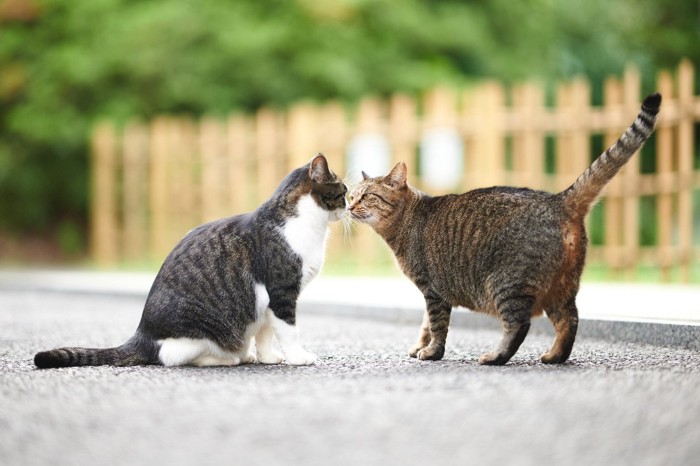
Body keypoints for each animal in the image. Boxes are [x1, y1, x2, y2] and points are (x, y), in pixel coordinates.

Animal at [35, 153, 348, 368]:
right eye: (343, 191)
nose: (349, 206)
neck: (305, 223)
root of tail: (142, 334)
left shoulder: (270, 302)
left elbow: (266, 333)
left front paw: (269, 357)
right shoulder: (281, 292)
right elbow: (288, 330)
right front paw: (298, 357)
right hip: (200, 330)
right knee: (173, 356)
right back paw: (228, 358)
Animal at [350, 93, 660, 366]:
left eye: (367, 196)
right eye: (352, 195)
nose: (350, 206)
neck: (405, 223)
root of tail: (557, 199)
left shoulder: (433, 290)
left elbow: (436, 326)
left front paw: (431, 353)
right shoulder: (432, 292)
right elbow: (425, 325)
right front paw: (419, 348)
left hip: (507, 285)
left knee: (519, 324)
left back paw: (496, 357)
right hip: (561, 287)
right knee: (569, 320)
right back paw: (554, 357)